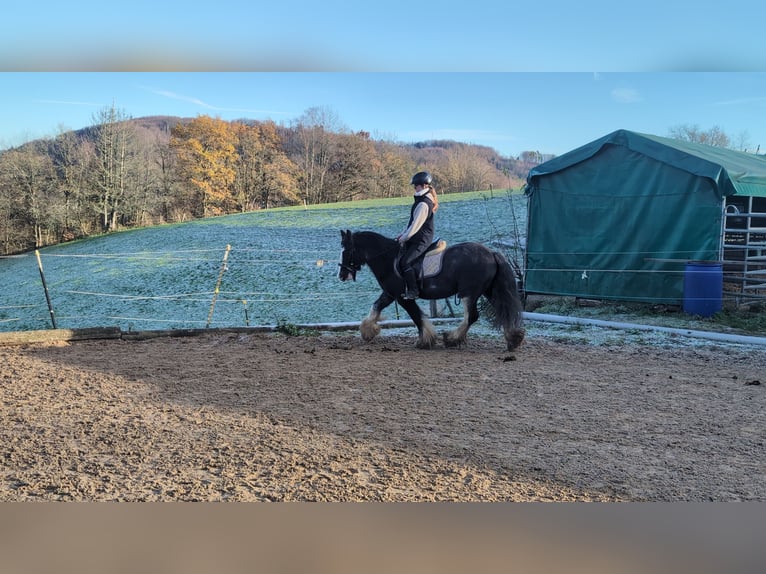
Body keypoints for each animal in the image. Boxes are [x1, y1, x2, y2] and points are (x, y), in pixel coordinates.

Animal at [338, 229, 525, 351]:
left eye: (346, 250)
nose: (341, 275)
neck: (388, 259)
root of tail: (491, 253)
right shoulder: (391, 294)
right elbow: (376, 306)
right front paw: (368, 331)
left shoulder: (403, 297)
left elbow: (416, 316)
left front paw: (425, 341)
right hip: (488, 291)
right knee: (503, 311)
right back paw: (513, 339)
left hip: (469, 293)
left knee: (472, 316)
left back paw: (451, 339)